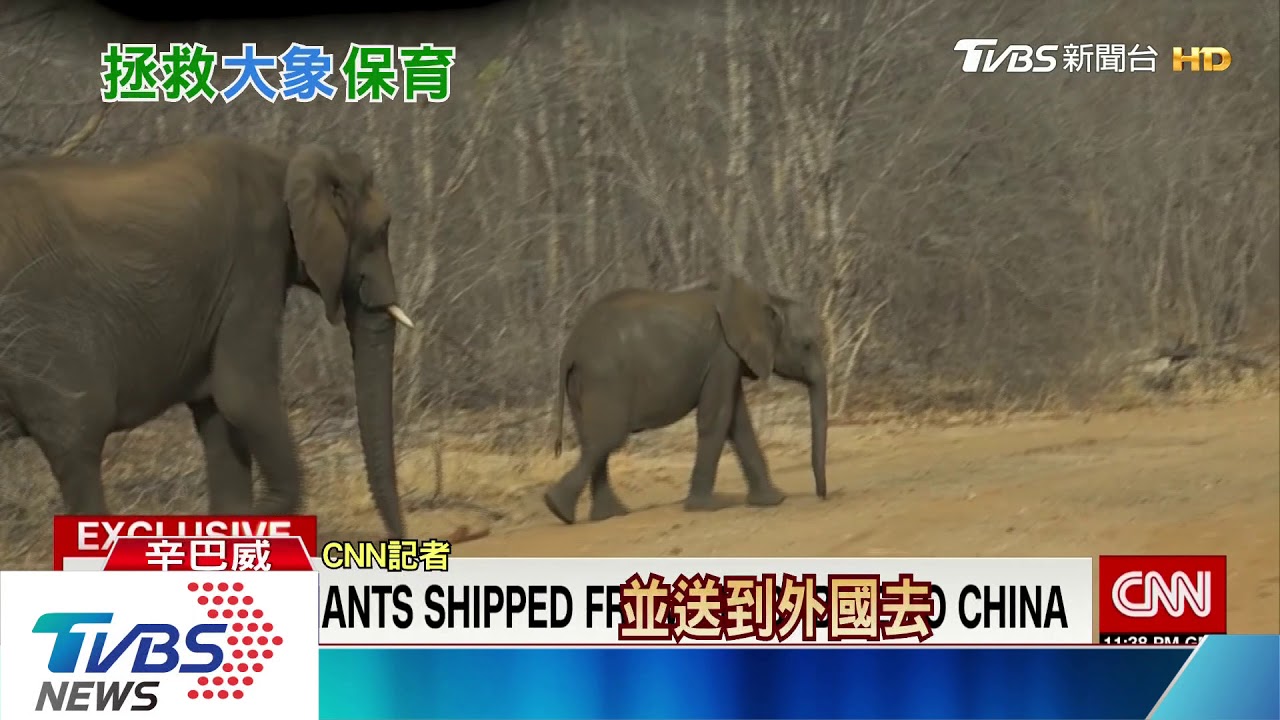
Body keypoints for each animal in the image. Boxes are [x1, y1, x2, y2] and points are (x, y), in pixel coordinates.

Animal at [0, 135, 414, 537]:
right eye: (381, 229)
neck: (286, 161)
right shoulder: (253, 265)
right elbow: (242, 395)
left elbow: (217, 410)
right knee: (77, 442)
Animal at [543, 272, 828, 524]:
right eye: (806, 345)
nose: (822, 497)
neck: (766, 299)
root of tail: (570, 348)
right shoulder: (722, 353)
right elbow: (717, 417)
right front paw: (707, 507)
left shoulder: (729, 358)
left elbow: (738, 422)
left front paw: (773, 501)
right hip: (605, 379)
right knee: (605, 439)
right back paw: (558, 508)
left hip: (582, 383)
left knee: (592, 440)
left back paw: (606, 515)